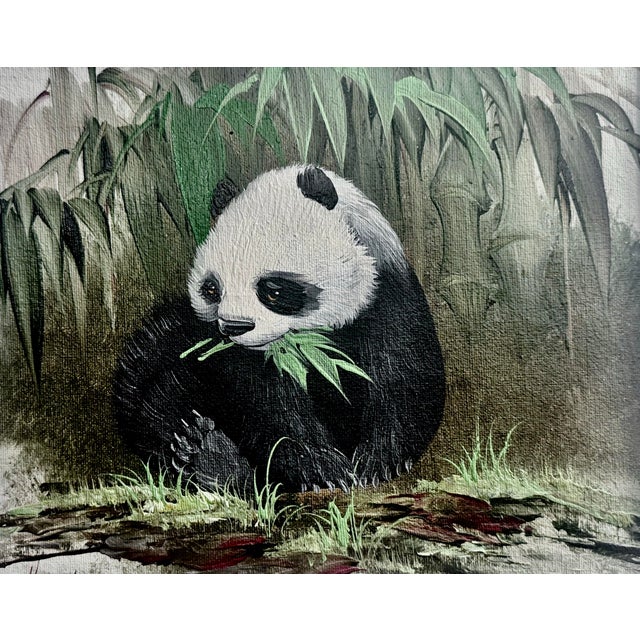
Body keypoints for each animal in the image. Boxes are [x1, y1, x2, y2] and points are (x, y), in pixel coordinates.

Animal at [114, 165, 445, 493]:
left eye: (273, 290)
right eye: (211, 290)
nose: (234, 327)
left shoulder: (388, 300)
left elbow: (405, 378)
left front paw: (379, 461)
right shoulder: (235, 356)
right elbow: (269, 408)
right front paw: (322, 467)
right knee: (163, 395)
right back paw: (210, 455)